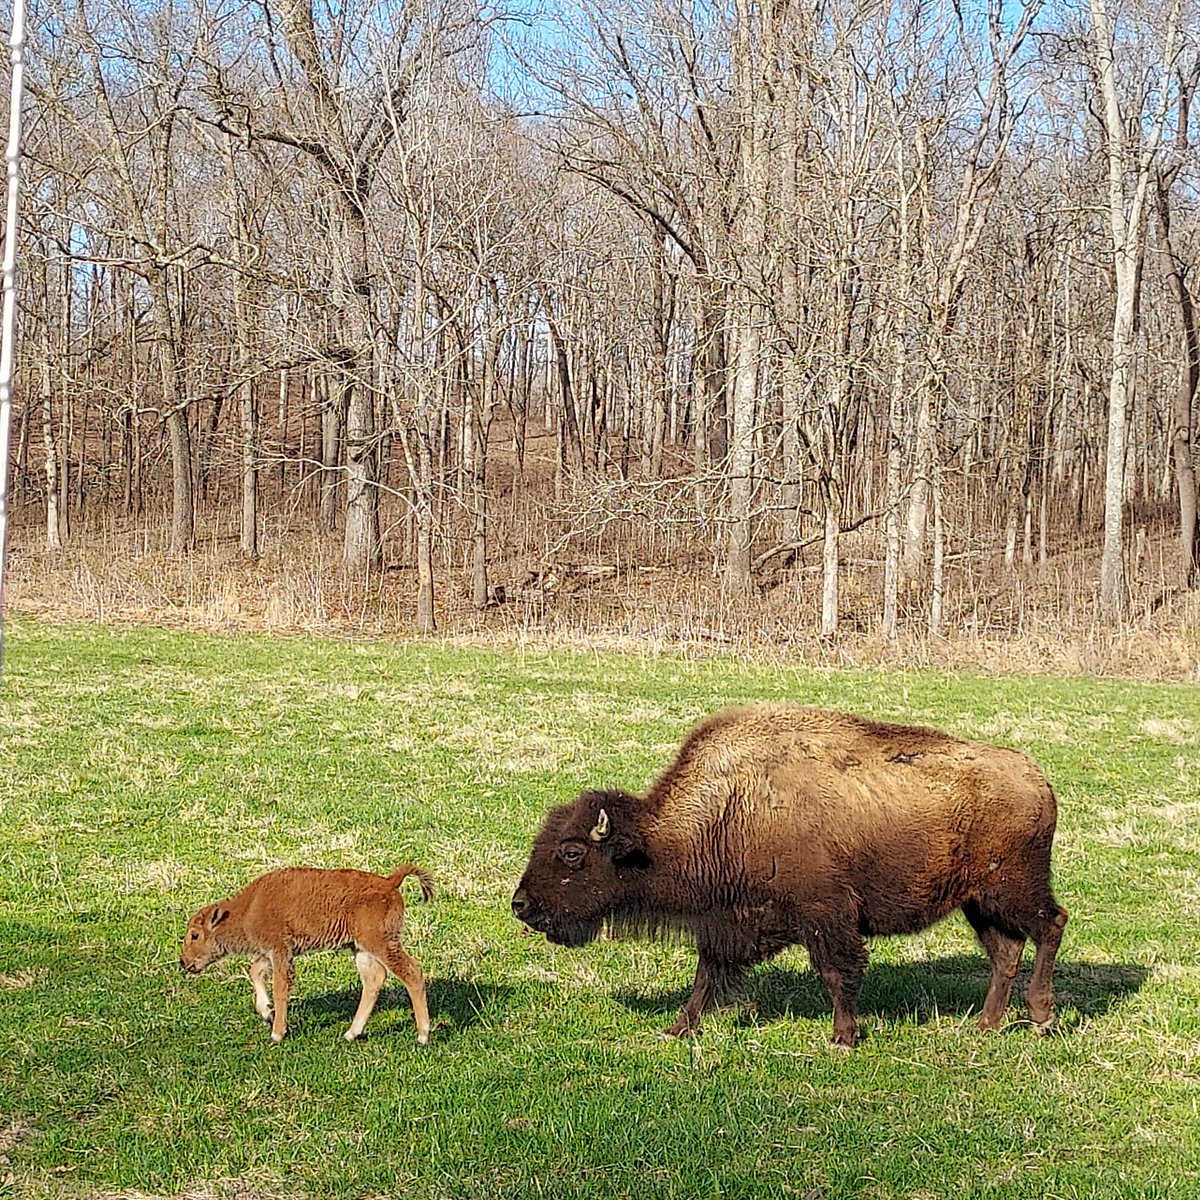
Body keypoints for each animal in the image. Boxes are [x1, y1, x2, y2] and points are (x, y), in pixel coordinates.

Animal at [511, 704, 1068, 1047]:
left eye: (572, 853)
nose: (521, 904)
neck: (729, 809)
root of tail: (1038, 779)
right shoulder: (729, 925)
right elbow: (706, 976)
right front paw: (678, 1029)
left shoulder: (827, 917)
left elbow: (837, 973)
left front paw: (844, 1037)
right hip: (979, 902)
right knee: (1007, 952)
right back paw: (985, 1026)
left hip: (1014, 889)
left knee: (1051, 926)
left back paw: (1041, 1017)